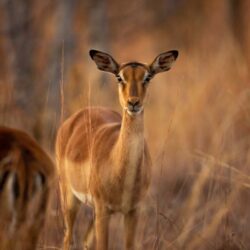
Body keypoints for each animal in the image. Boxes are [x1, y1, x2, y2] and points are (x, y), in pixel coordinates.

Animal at [56, 47, 179, 249]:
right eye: (119, 77)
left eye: (148, 77)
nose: (133, 102)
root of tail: (75, 118)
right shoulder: (103, 209)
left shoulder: (132, 211)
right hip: (70, 198)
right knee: (68, 239)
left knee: (85, 240)